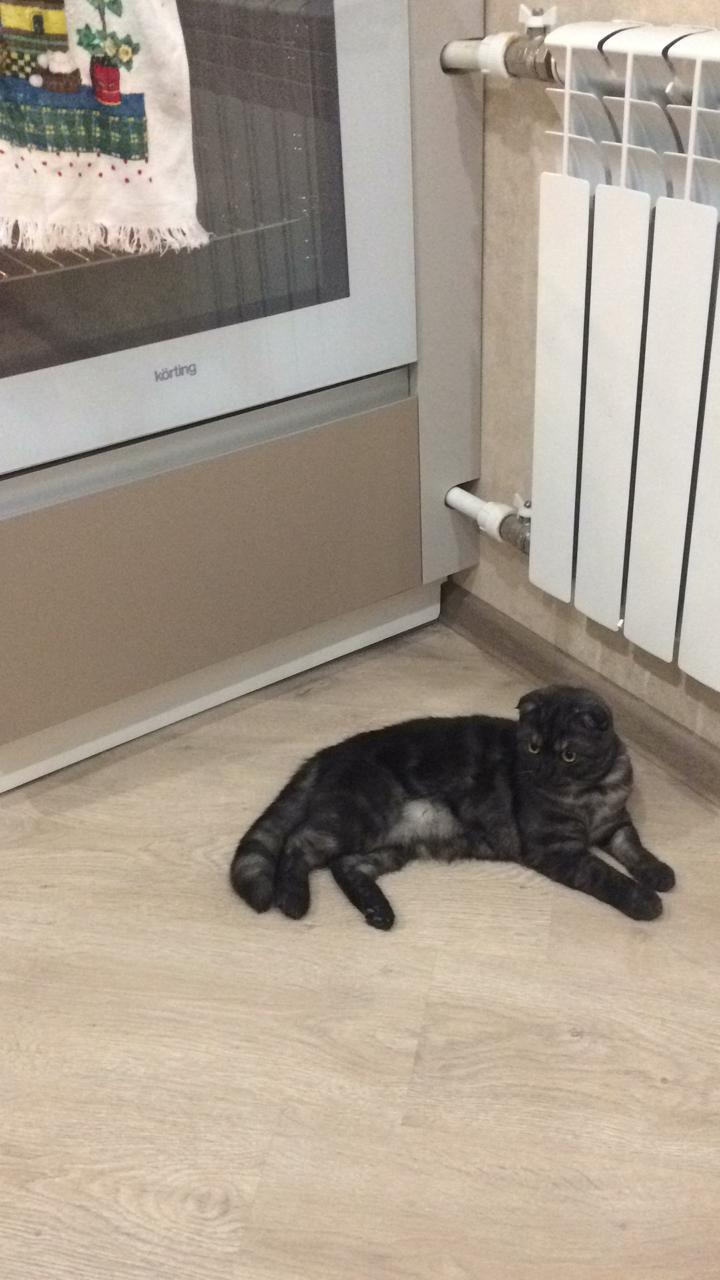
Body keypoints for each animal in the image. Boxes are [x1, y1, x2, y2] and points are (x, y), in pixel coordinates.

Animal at [229, 686, 671, 926]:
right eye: (532, 747)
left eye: (567, 755)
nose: (542, 771)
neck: (590, 793)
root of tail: (329, 752)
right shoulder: (559, 850)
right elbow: (605, 875)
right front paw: (645, 901)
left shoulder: (615, 822)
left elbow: (633, 847)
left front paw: (659, 874)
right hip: (357, 816)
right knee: (298, 842)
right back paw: (293, 899)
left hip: (394, 844)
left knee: (346, 866)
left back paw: (378, 912)